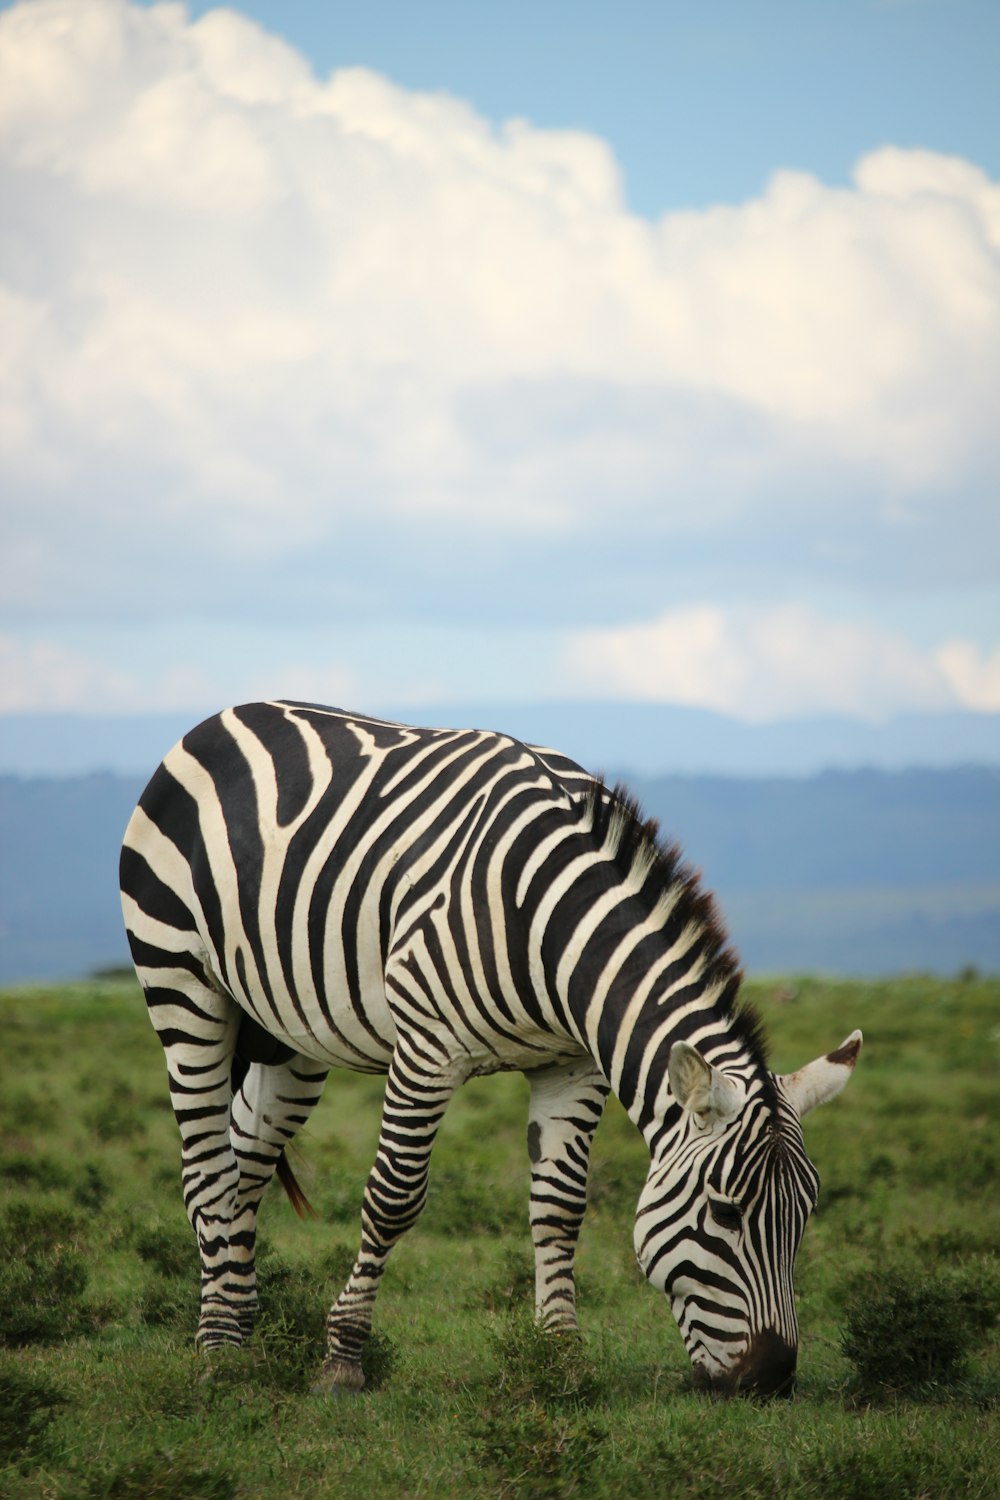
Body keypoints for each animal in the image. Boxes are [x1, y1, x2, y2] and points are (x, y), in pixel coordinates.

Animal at [121, 699, 863, 1392]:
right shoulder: (427, 1048)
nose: (772, 1379)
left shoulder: (572, 1066)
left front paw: (560, 1357)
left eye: (805, 1216)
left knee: (245, 1162)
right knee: (207, 1170)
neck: (553, 929)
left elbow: (561, 1206)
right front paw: (343, 1360)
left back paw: (239, 1326)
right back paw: (219, 1348)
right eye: (726, 1212)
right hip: (182, 985)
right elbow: (392, 1198)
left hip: (290, 1035)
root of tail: (227, 715)